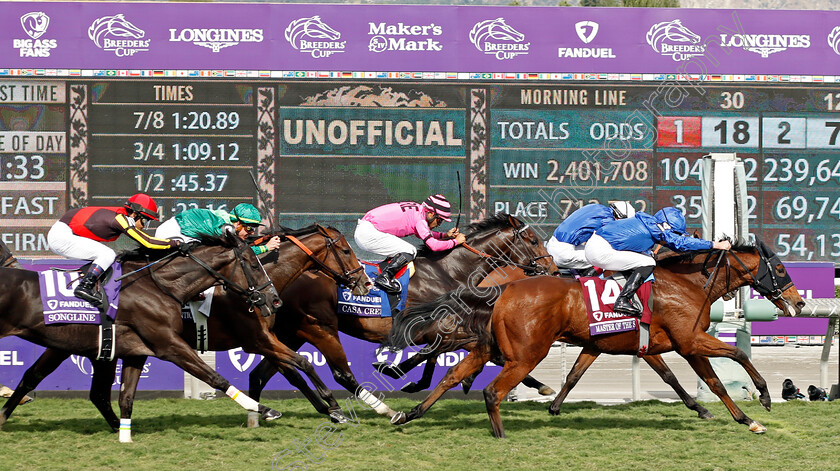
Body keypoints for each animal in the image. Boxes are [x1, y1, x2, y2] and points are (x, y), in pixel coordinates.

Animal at [0, 224, 370, 438]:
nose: (364, 282)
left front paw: (328, 409)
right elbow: (296, 366)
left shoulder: (264, 339)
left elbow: (293, 367)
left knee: (85, 390)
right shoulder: (255, 338)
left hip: (97, 349)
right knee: (36, 378)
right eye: (346, 250)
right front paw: (332, 408)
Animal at [244, 214, 556, 420]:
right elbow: (441, 353)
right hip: (317, 327)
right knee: (337, 373)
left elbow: (444, 356)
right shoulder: (428, 328)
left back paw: (261, 414)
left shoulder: (443, 328)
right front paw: (396, 371)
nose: (553, 270)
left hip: (292, 333)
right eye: (533, 240)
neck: (448, 272)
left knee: (263, 374)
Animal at [388, 240, 808, 438]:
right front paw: (763, 397)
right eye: (780, 268)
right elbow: (736, 355)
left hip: (490, 346)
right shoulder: (689, 341)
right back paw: (498, 431)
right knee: (491, 390)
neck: (687, 284)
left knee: (452, 376)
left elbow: (714, 382)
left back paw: (410, 412)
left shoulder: (617, 344)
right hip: (526, 353)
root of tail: (505, 289)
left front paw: (744, 419)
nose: (799, 302)